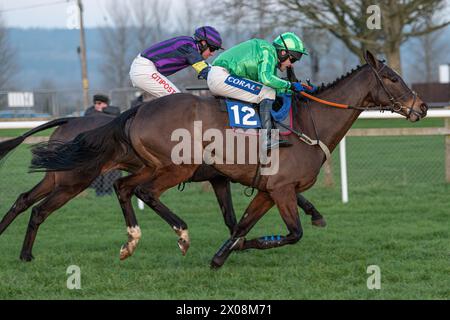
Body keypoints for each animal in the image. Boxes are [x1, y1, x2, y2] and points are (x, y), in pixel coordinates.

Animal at [0, 111, 324, 262]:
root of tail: (71, 120)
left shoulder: (219, 178)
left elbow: (233, 217)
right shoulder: (223, 176)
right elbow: (286, 195)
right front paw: (314, 214)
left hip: (56, 177)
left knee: (25, 202)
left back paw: (20, 250)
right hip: (74, 180)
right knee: (40, 209)